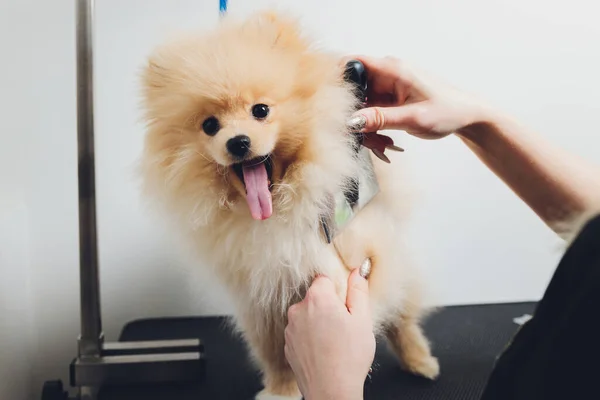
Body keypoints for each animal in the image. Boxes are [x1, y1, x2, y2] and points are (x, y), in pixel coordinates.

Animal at [141, 10, 440, 400]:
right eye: (209, 125)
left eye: (260, 110)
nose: (238, 142)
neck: (275, 212)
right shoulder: (263, 301)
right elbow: (275, 354)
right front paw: (281, 390)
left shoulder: (347, 264)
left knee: (403, 316)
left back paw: (420, 361)